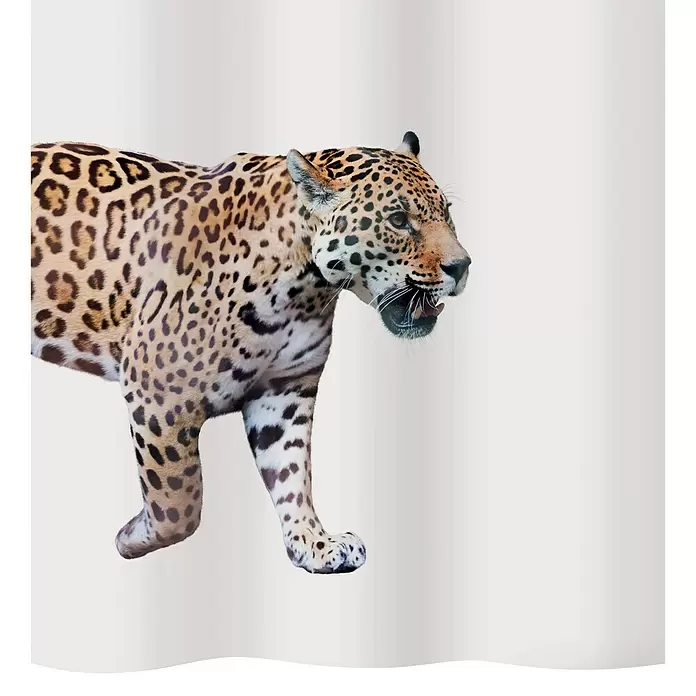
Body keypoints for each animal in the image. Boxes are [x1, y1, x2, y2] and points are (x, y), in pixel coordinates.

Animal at [30, 131, 471, 574]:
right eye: (398, 220)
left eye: (448, 213)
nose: (463, 266)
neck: (305, 290)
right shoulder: (158, 393)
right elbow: (179, 500)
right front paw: (131, 536)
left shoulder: (285, 391)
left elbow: (291, 472)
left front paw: (314, 543)